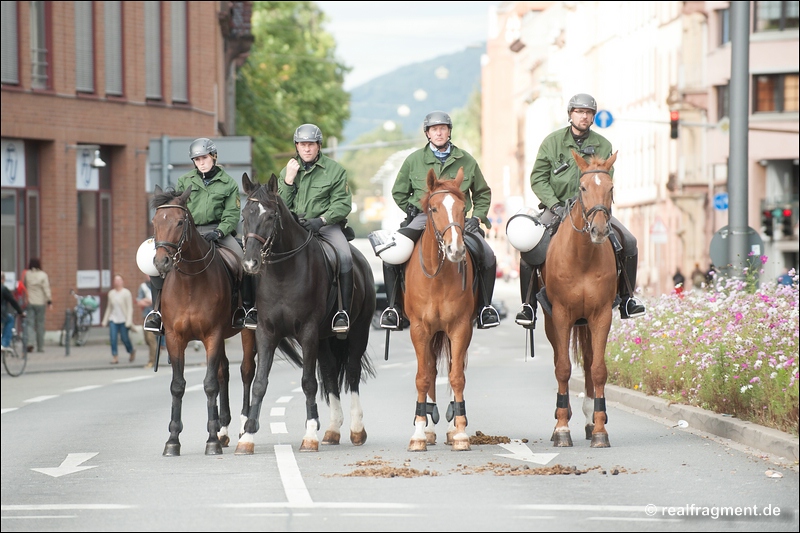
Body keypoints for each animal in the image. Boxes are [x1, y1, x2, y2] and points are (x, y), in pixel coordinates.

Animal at [149, 185, 300, 456]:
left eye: (180, 221)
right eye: (155, 221)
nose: (161, 262)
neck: (190, 282)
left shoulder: (213, 335)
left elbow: (209, 384)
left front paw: (211, 441)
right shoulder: (176, 338)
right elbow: (178, 385)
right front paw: (173, 440)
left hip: (246, 333)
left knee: (245, 372)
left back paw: (240, 426)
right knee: (224, 373)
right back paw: (223, 428)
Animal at [234, 171, 378, 454]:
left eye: (271, 216)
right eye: (244, 215)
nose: (250, 263)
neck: (283, 273)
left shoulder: (308, 332)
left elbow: (308, 382)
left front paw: (310, 434)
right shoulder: (266, 332)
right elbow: (259, 382)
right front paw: (247, 436)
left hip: (357, 332)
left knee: (352, 373)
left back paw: (357, 429)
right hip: (324, 340)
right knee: (331, 374)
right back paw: (333, 430)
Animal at [404, 168, 478, 450]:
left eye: (462, 207)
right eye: (434, 209)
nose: (455, 250)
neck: (437, 276)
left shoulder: (460, 328)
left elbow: (456, 376)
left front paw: (460, 432)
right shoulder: (418, 329)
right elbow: (423, 377)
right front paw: (418, 433)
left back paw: (449, 426)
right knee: (431, 370)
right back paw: (428, 428)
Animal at [536, 152, 620, 446]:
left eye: (611, 188)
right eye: (583, 188)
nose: (599, 230)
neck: (583, 256)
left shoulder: (601, 315)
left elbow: (598, 369)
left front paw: (600, 429)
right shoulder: (561, 314)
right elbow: (562, 368)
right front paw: (562, 428)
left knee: (589, 360)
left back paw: (590, 419)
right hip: (552, 321)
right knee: (558, 359)